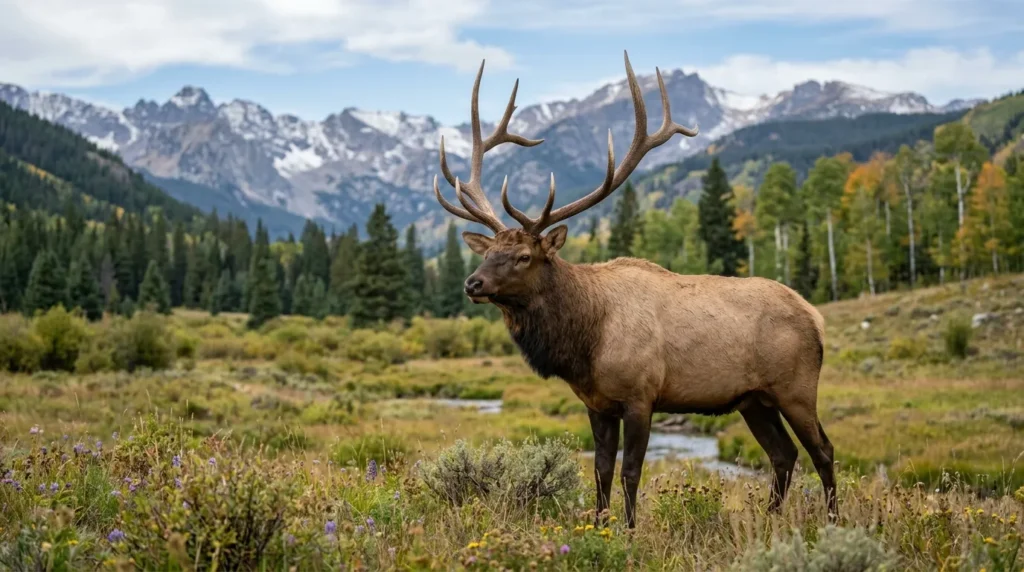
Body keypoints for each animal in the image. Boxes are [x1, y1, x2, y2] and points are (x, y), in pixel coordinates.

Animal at [432, 51, 836, 529]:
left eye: (524, 257)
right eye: (490, 251)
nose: (472, 283)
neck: (584, 341)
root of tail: (816, 317)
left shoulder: (642, 396)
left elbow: (630, 472)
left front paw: (627, 530)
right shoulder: (597, 403)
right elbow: (601, 469)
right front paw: (598, 524)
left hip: (796, 387)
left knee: (822, 450)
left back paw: (834, 521)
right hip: (752, 399)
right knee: (783, 454)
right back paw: (769, 519)